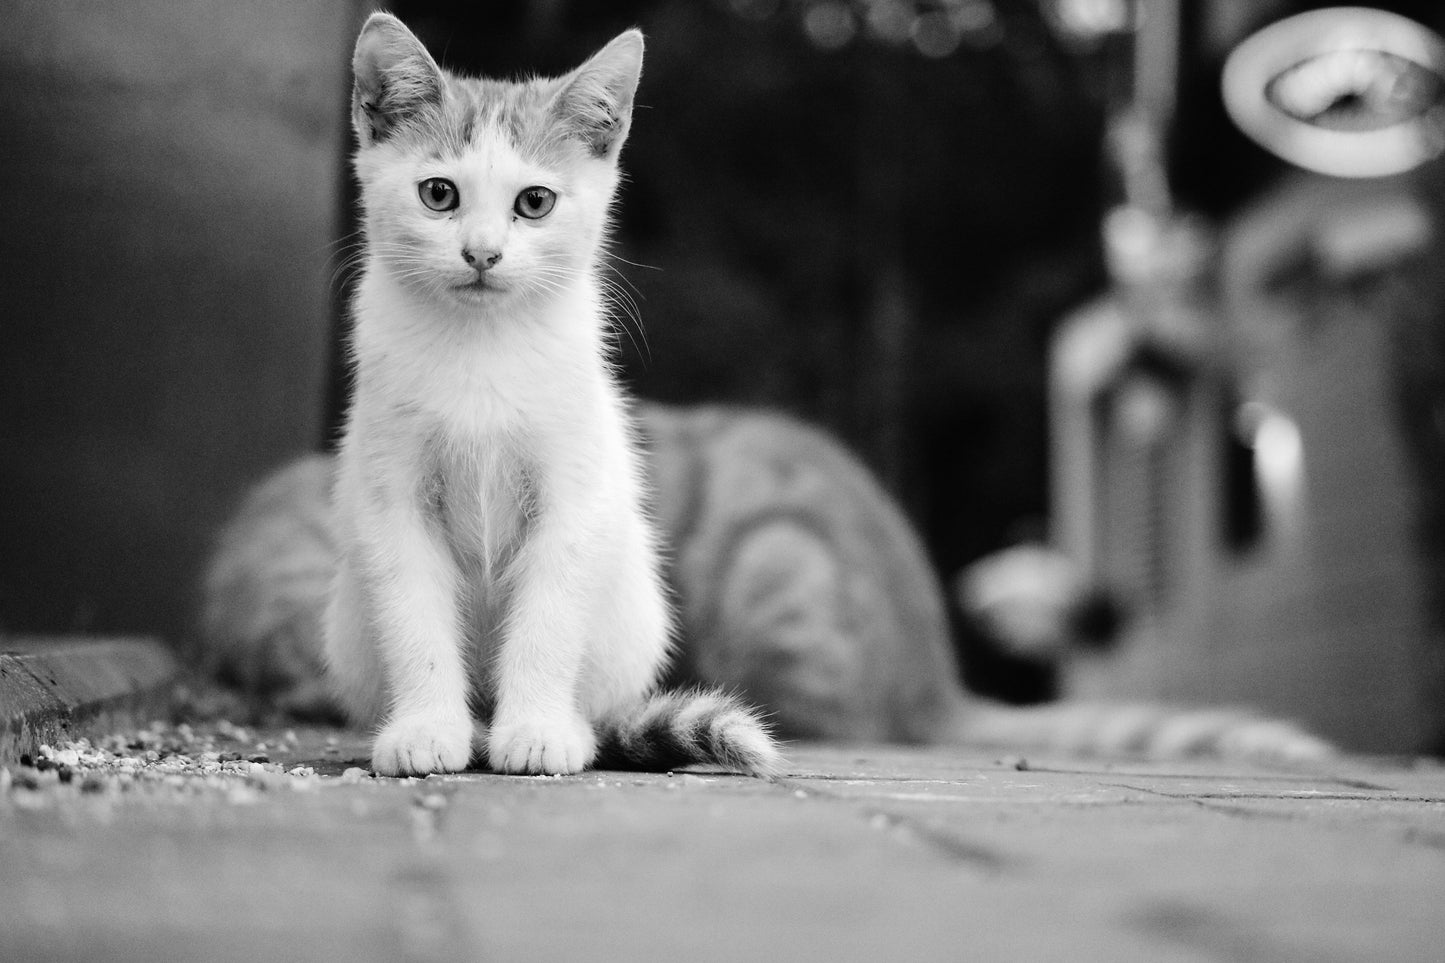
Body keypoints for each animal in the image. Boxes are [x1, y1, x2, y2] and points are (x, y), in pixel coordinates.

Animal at [323, 15, 786, 775]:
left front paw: (536, 729)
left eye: (533, 202)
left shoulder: (575, 495)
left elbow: (547, 621)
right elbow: (415, 618)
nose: (482, 253)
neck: (482, 348)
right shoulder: (392, 495)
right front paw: (426, 729)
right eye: (438, 194)